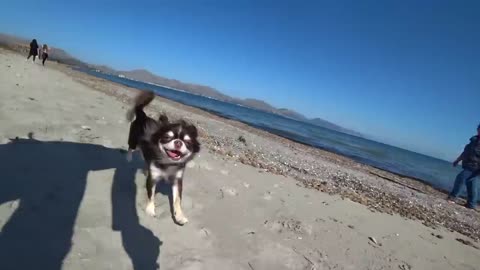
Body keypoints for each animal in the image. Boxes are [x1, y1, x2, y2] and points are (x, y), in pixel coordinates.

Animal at [126, 89, 200, 225]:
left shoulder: (177, 181)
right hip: (133, 140)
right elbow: (151, 194)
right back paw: (128, 158)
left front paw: (179, 216)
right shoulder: (153, 178)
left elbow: (177, 200)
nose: (178, 142)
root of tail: (143, 115)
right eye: (167, 137)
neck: (168, 162)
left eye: (187, 142)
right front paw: (150, 209)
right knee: (131, 148)